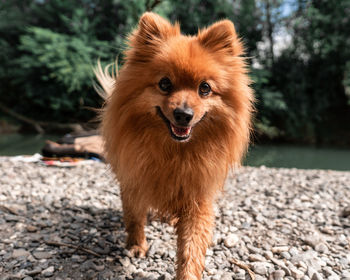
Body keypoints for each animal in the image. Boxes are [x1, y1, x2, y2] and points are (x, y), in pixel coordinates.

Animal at [95, 11, 254, 280]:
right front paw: (136, 245)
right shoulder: (134, 180)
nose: (183, 114)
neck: (175, 152)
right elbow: (134, 216)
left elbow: (191, 247)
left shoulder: (197, 197)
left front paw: (187, 273)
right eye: (165, 84)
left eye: (205, 88)